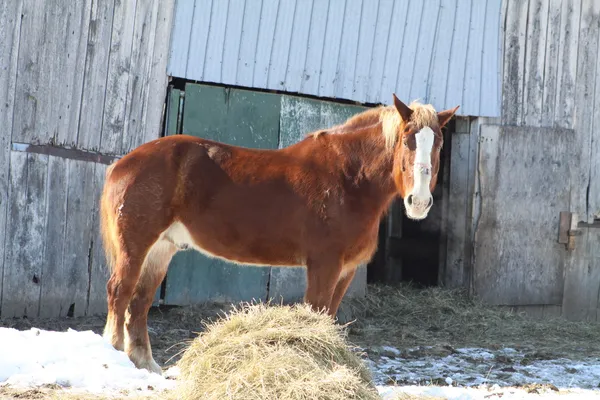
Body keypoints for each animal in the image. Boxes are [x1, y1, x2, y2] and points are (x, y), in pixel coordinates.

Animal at [99, 94, 460, 372]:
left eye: (439, 144)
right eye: (406, 139)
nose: (419, 202)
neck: (349, 179)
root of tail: (123, 163)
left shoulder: (345, 270)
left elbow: (329, 317)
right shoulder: (324, 265)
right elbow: (315, 312)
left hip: (162, 248)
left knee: (140, 302)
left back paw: (146, 366)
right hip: (136, 246)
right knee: (120, 292)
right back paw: (113, 354)